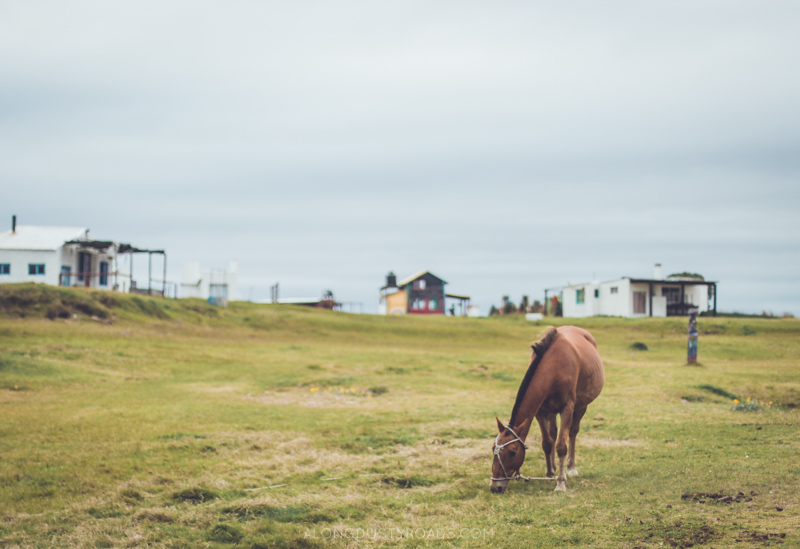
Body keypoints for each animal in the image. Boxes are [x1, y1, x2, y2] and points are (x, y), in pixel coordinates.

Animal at [488, 326, 608, 492]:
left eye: (512, 452)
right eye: (493, 448)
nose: (495, 486)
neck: (554, 365)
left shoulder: (567, 408)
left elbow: (561, 446)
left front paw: (561, 482)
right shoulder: (541, 411)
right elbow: (547, 443)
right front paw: (550, 473)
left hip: (581, 406)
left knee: (573, 432)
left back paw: (571, 467)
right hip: (552, 411)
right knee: (553, 433)